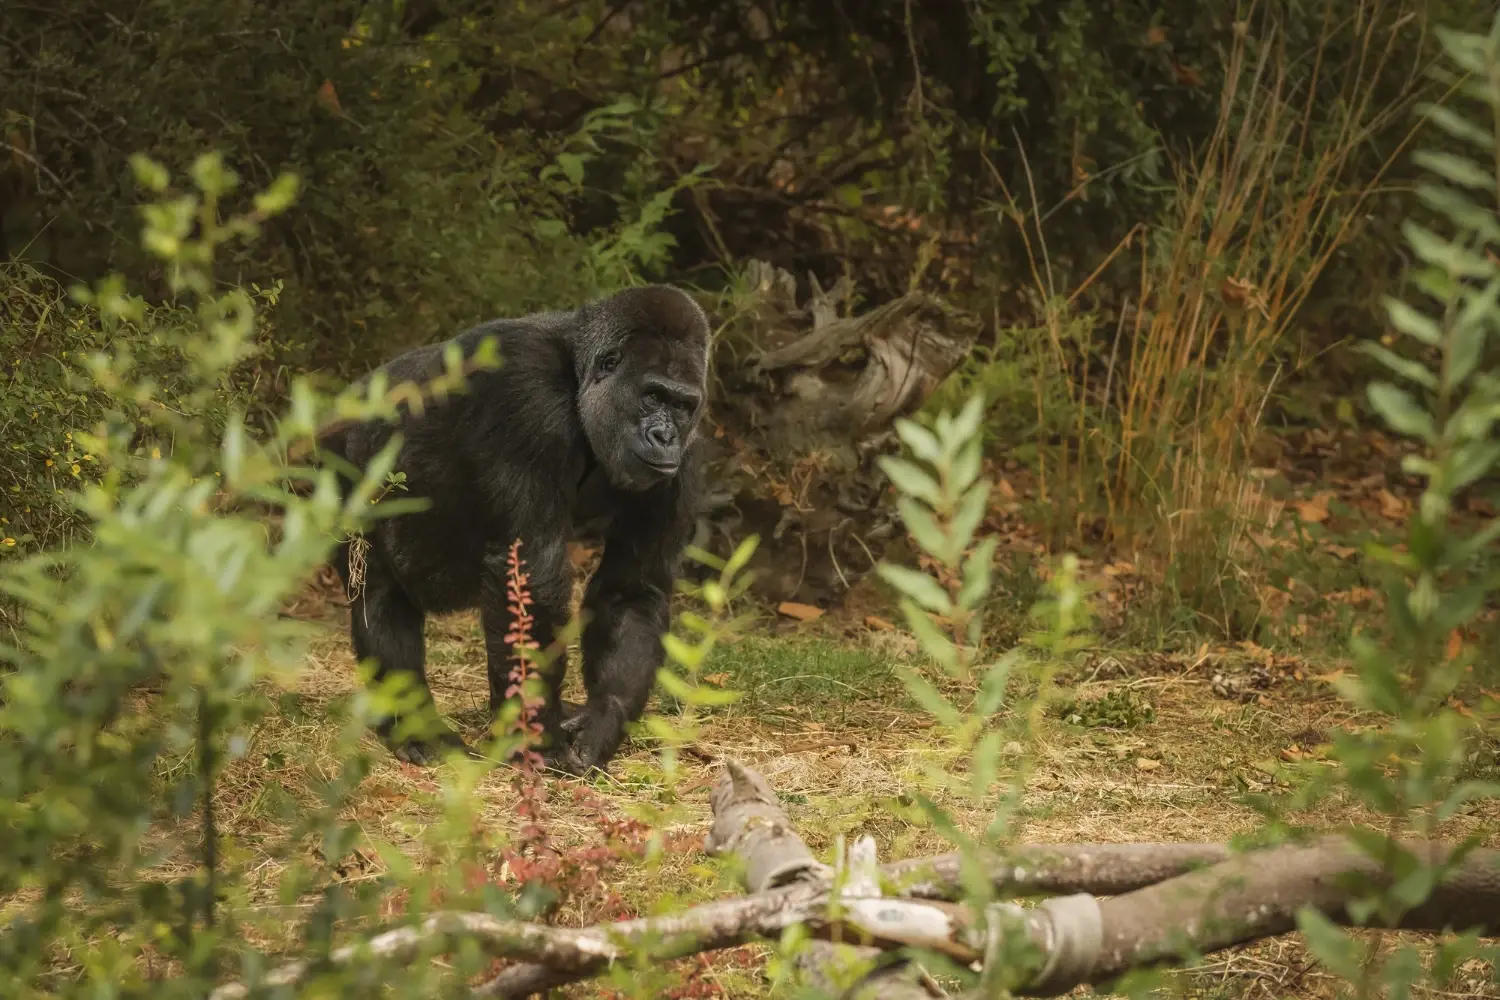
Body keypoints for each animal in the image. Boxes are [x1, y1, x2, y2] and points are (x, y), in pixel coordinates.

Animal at [320, 285, 708, 775]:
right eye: (653, 395)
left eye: (682, 405)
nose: (664, 437)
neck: (577, 375)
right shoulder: (526, 394)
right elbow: (531, 573)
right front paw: (537, 735)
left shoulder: (685, 459)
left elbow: (633, 590)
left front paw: (603, 720)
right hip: (341, 458)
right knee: (378, 588)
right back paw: (413, 724)